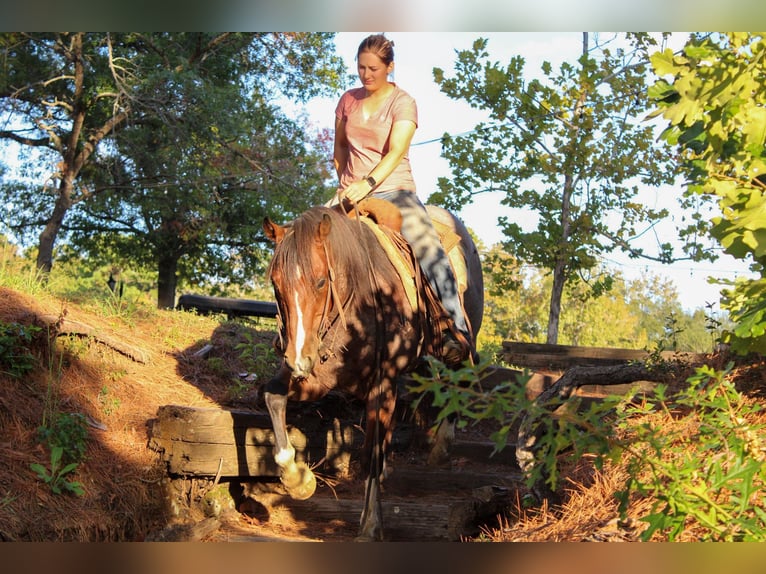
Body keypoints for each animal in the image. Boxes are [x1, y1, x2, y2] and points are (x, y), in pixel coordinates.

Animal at [260, 201, 484, 540]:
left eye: (321, 281)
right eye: (276, 284)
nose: (297, 358)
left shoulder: (382, 380)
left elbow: (371, 456)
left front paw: (370, 525)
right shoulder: (316, 375)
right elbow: (273, 396)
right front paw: (297, 479)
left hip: (460, 344)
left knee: (460, 380)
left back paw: (442, 445)